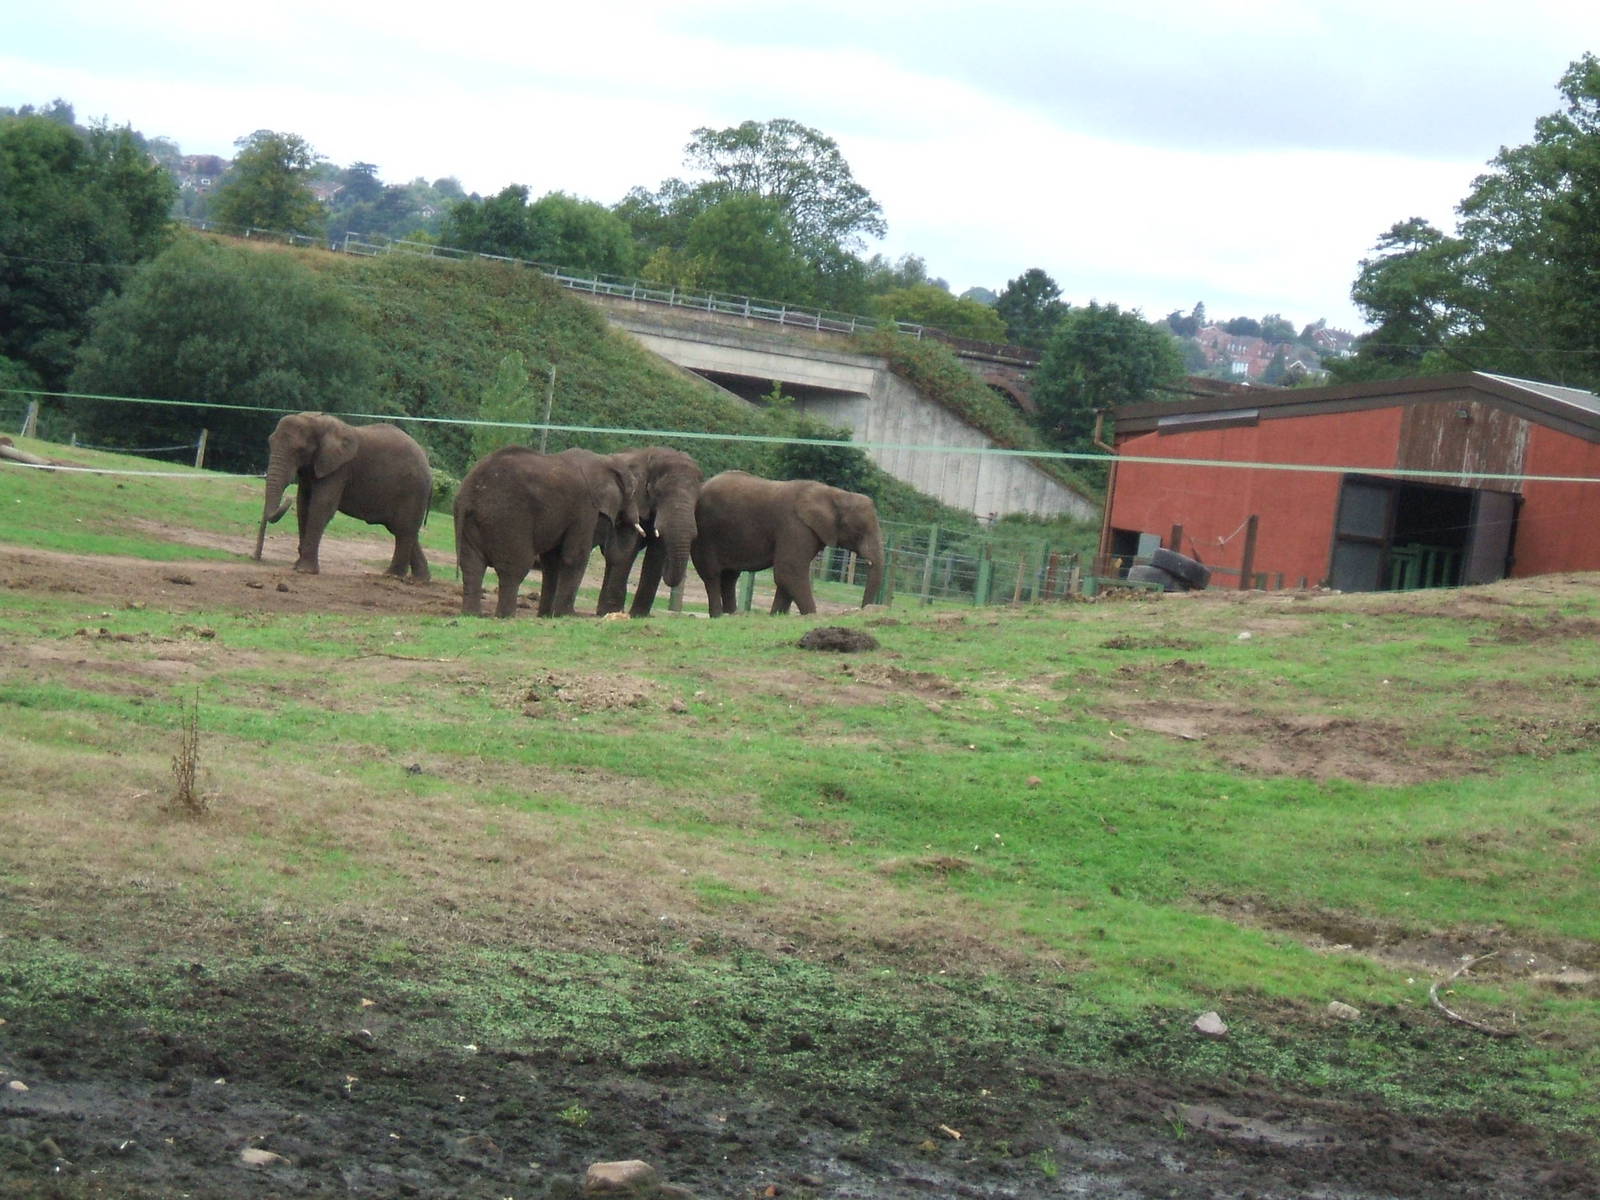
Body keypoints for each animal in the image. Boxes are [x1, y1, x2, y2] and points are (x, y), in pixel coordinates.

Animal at [254, 412, 432, 580]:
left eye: (300, 450)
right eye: (270, 442)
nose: (256, 557)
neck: (317, 421)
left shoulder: (339, 469)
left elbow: (321, 506)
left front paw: (304, 570)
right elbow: (303, 504)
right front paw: (297, 566)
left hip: (413, 490)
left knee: (403, 530)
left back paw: (392, 576)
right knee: (402, 529)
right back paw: (420, 579)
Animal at [453, 445, 641, 618]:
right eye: (633, 492)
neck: (604, 460)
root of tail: (469, 492)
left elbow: (552, 562)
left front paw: (546, 615)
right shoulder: (585, 507)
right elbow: (574, 557)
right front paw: (568, 616)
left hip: (473, 521)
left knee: (471, 566)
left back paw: (472, 615)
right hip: (508, 518)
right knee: (514, 568)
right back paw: (506, 616)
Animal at [588, 446, 703, 617]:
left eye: (697, 498)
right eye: (658, 492)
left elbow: (655, 555)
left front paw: (638, 616)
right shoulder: (633, 500)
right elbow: (626, 551)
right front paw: (614, 612)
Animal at [691, 471, 885, 617]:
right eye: (860, 530)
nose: (863, 611)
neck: (835, 494)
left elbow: (787, 577)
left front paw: (775, 616)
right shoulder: (795, 525)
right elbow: (790, 570)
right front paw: (811, 617)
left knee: (730, 577)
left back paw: (731, 615)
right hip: (706, 535)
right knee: (712, 575)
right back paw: (718, 616)